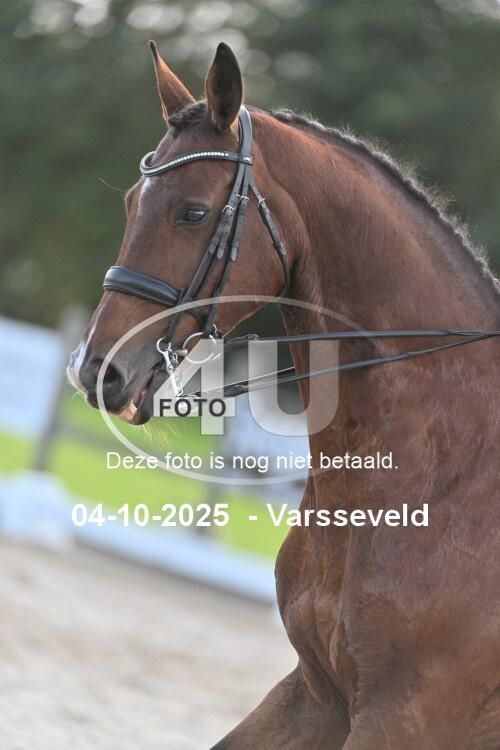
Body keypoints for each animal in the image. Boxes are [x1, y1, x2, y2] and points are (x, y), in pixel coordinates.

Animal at [68, 41, 500, 749]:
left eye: (193, 212)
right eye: (133, 202)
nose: (96, 370)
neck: (448, 468)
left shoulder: (405, 715)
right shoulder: (317, 693)